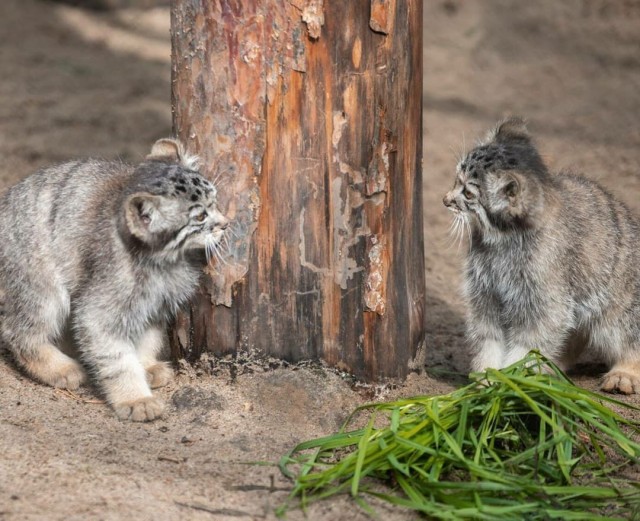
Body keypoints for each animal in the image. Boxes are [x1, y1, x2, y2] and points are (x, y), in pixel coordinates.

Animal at [0, 140, 230, 420]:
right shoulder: (99, 311)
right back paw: (60, 369)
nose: (225, 223)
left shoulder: (154, 303)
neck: (165, 262)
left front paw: (146, 366)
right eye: (200, 217)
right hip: (42, 289)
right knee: (17, 332)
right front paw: (136, 398)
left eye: (215, 201)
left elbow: (146, 338)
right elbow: (118, 359)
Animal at [442, 119, 640, 394]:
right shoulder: (485, 293)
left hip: (619, 305)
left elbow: (530, 343)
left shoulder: (544, 301)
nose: (445, 200)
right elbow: (489, 337)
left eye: (468, 194)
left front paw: (512, 381)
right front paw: (487, 376)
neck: (504, 242)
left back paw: (625, 372)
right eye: (455, 178)